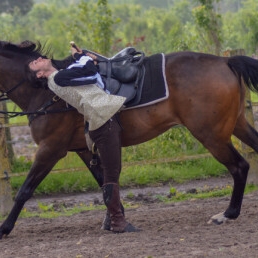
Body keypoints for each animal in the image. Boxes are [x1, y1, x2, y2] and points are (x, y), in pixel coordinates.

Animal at [0, 40, 258, 240]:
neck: (44, 90)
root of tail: (225, 62)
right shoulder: (84, 148)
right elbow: (105, 182)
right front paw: (115, 219)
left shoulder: (51, 149)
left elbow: (25, 190)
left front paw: (5, 228)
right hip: (236, 125)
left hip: (211, 135)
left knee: (239, 166)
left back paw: (227, 214)